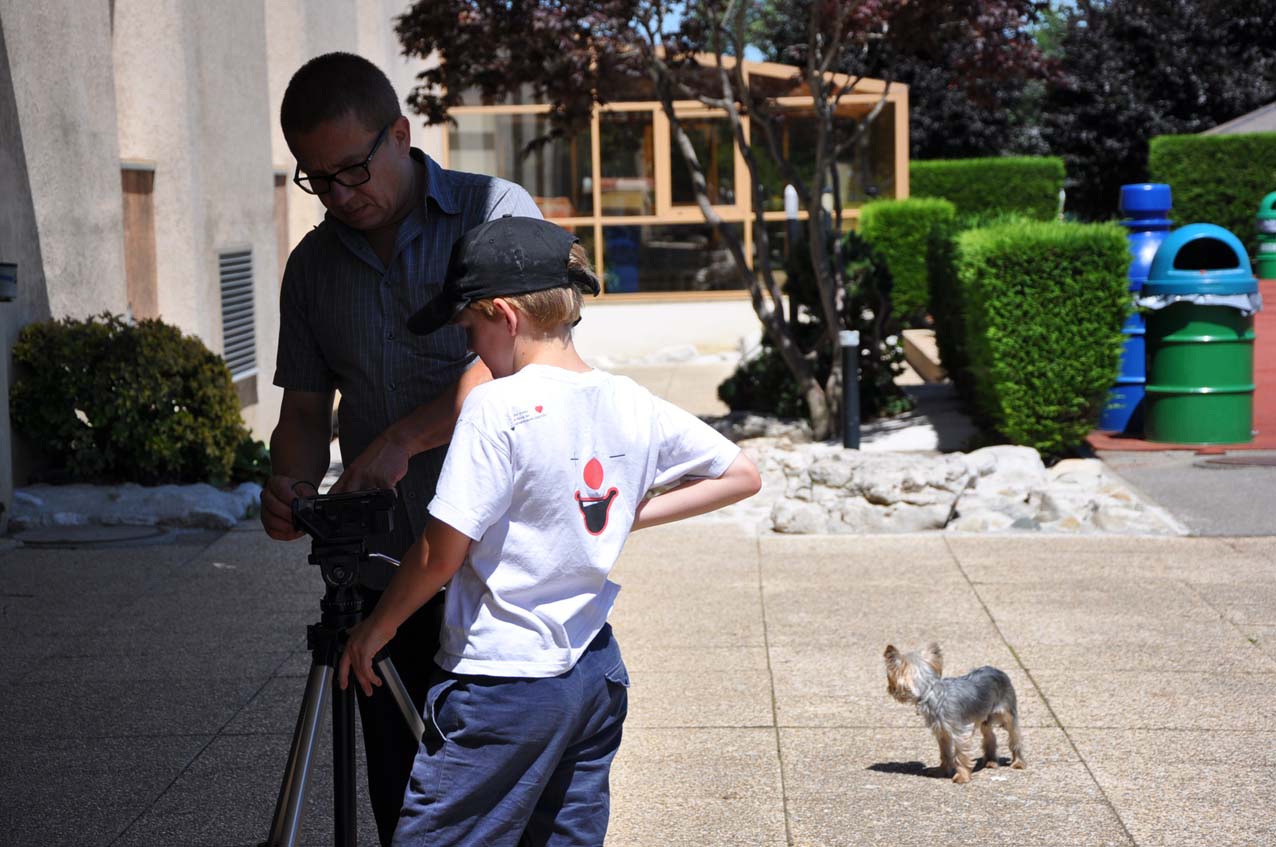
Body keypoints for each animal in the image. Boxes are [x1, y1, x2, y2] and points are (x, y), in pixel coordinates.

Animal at [883, 643, 1026, 783]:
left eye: (889, 678)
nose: (889, 688)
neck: (930, 690)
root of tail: (997, 670)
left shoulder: (960, 732)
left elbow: (960, 755)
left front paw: (962, 777)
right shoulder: (942, 731)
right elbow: (945, 753)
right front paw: (942, 771)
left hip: (1007, 713)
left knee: (1015, 736)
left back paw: (1018, 762)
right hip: (985, 717)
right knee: (990, 736)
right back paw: (991, 762)